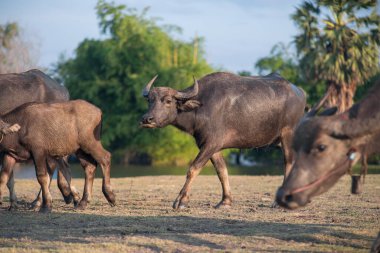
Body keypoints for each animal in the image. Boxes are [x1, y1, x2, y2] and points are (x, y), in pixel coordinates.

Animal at [140, 71, 306, 210]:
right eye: (150, 100)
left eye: (168, 100)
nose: (147, 119)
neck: (201, 107)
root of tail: (299, 92)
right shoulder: (213, 147)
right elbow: (222, 172)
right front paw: (225, 201)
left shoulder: (210, 144)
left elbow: (193, 169)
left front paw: (181, 201)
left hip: (288, 135)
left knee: (289, 162)